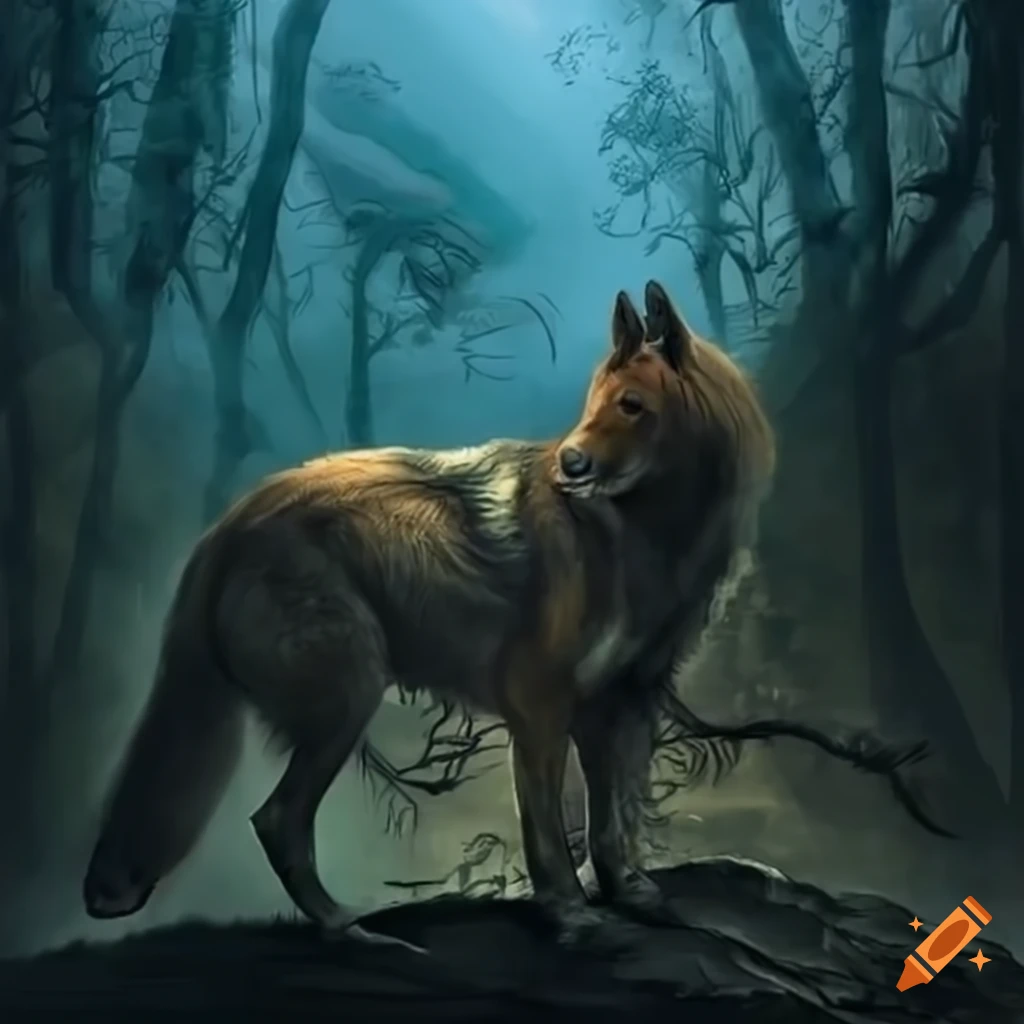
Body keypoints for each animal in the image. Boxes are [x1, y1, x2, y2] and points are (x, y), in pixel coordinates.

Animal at [83, 280, 776, 947]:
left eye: (630, 405)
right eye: (591, 403)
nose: (569, 464)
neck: (640, 536)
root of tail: (224, 528)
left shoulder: (624, 705)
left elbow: (613, 822)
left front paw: (630, 895)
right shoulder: (541, 707)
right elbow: (547, 832)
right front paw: (572, 919)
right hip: (348, 703)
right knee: (276, 821)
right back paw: (348, 930)